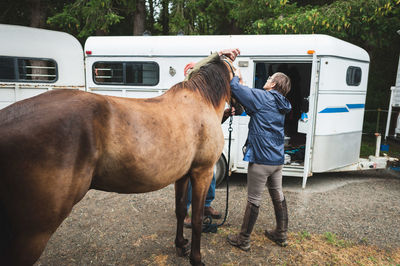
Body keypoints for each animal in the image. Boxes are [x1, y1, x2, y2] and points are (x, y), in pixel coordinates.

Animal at [0, 57, 234, 264]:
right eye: (237, 75)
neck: (200, 101)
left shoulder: (183, 175)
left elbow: (180, 211)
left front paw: (181, 245)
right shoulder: (203, 172)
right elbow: (196, 219)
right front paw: (196, 258)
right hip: (33, 234)